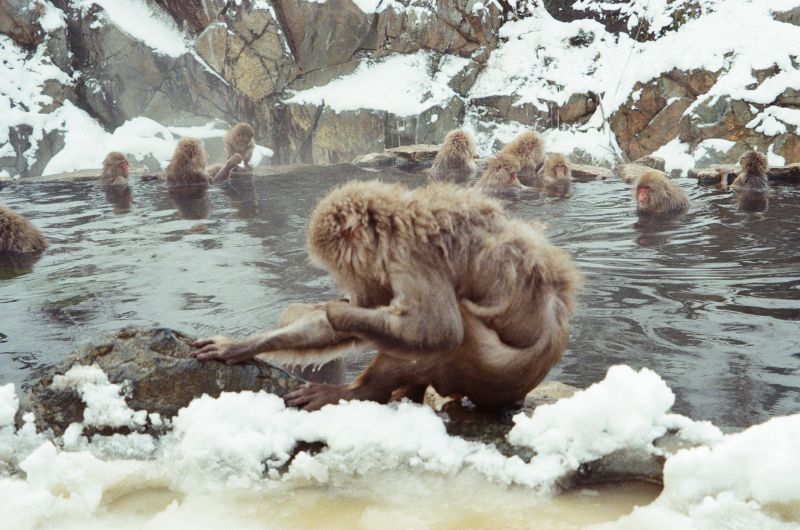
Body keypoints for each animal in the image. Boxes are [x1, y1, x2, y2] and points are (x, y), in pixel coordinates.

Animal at [191, 180, 582, 411]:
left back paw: (357, 394)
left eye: (336, 265)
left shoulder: (409, 257)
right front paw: (238, 347)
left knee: (455, 334)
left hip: (491, 375)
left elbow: (439, 330)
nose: (343, 286)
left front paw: (338, 311)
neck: (393, 225)